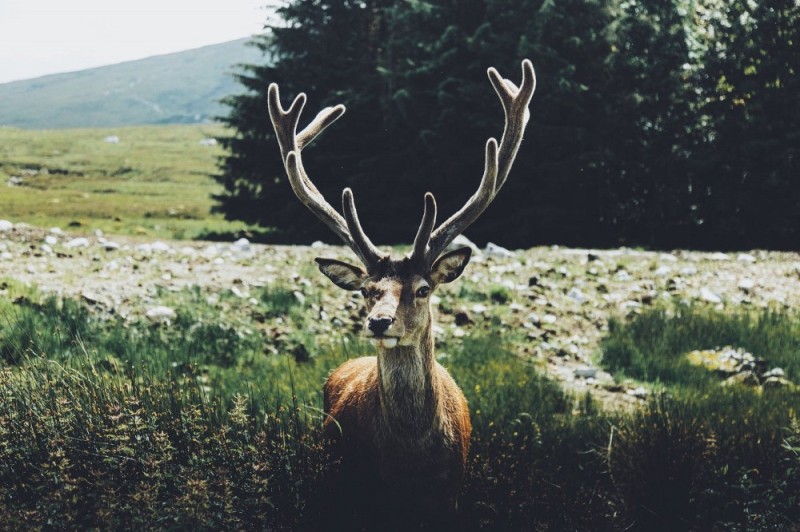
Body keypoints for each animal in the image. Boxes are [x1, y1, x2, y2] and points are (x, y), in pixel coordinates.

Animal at [268, 58, 536, 524]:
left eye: (423, 289)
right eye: (367, 290)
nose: (379, 322)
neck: (410, 464)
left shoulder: (450, 494)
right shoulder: (361, 495)